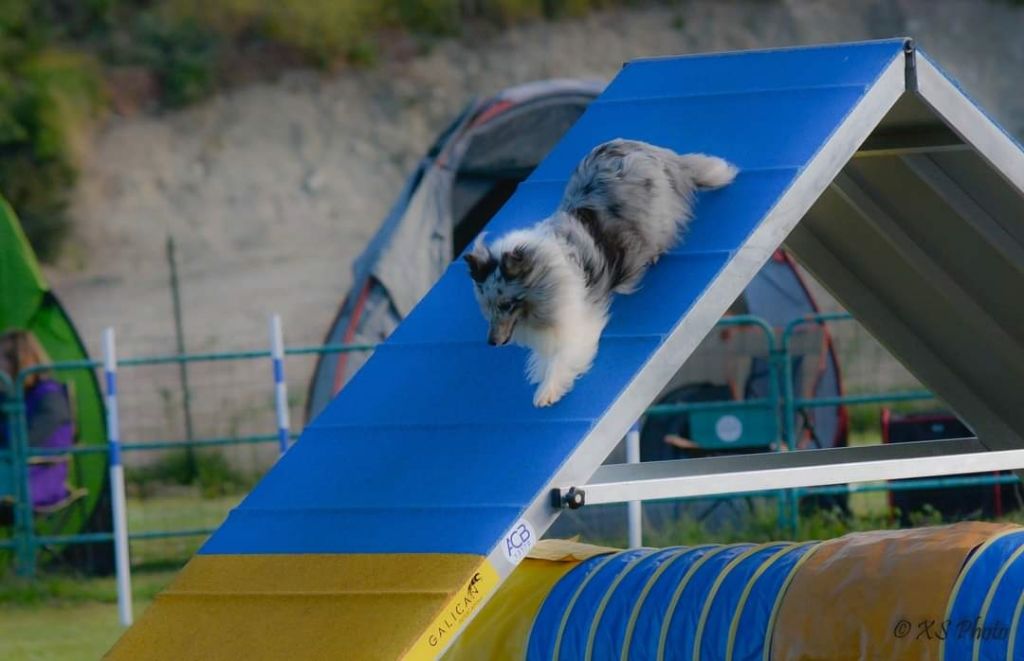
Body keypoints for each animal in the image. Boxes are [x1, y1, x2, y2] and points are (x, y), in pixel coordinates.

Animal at [464, 139, 737, 407]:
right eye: (488, 308)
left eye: (507, 305)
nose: (492, 342)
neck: (544, 273)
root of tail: (642, 147)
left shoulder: (578, 319)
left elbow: (563, 355)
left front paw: (547, 391)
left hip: (651, 211)